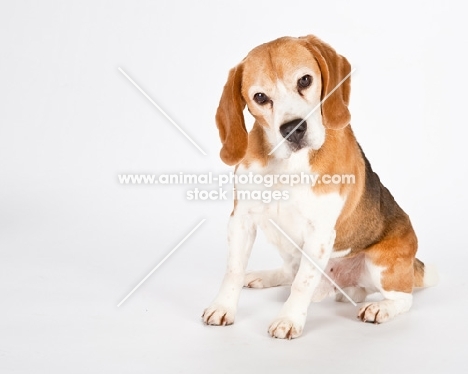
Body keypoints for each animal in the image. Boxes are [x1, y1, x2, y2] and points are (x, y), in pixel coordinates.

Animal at [202, 35, 438, 338]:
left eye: (304, 80)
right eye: (260, 97)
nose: (293, 128)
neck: (289, 165)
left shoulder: (319, 234)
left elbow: (302, 283)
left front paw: (288, 319)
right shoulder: (241, 220)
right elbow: (233, 270)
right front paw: (223, 307)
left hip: (381, 263)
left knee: (403, 298)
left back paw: (380, 308)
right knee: (289, 272)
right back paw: (263, 276)